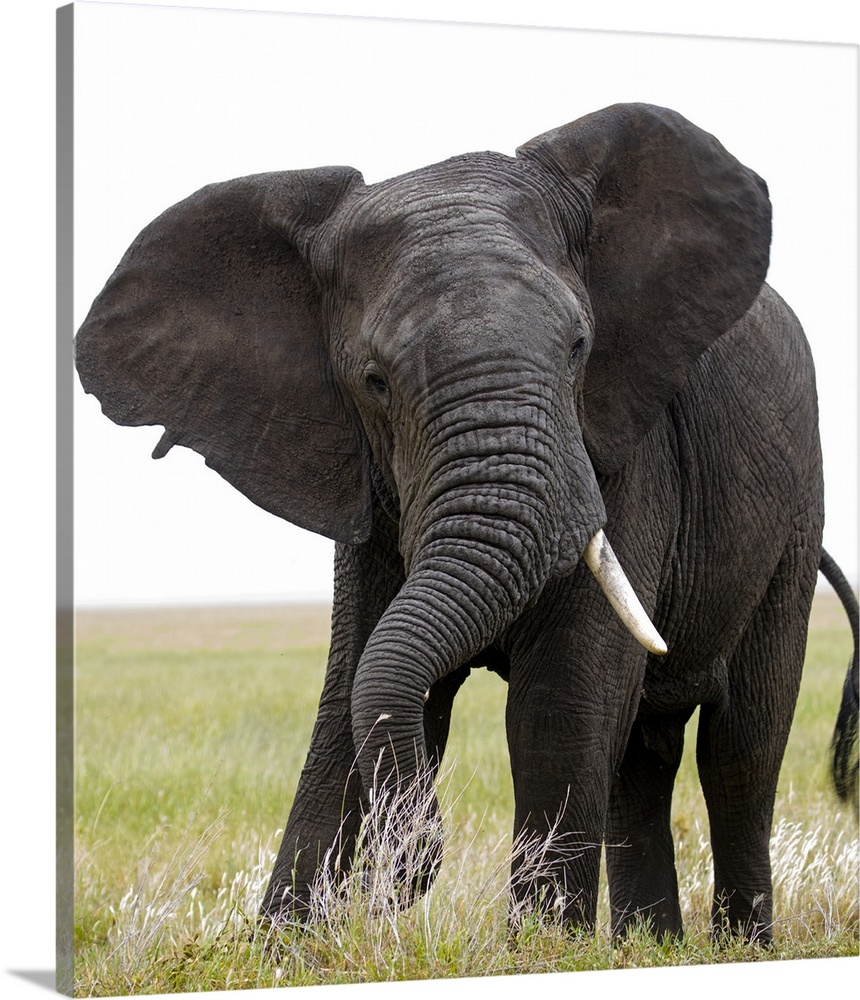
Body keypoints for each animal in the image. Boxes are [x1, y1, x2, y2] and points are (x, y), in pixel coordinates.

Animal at [75, 103, 860, 944]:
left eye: (579, 346)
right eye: (374, 381)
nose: (406, 865)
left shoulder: (622, 446)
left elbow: (562, 698)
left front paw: (541, 950)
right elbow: (355, 685)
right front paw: (281, 951)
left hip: (795, 514)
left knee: (741, 747)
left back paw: (734, 943)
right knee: (643, 756)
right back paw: (648, 947)